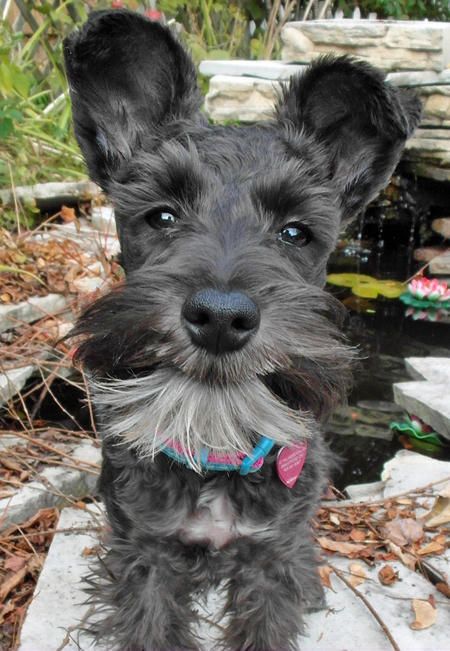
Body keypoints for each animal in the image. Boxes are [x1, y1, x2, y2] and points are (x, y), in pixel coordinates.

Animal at [64, 10, 422, 651]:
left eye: (296, 232)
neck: (213, 447)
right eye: (161, 215)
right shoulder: (145, 555)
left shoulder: (269, 558)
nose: (221, 317)